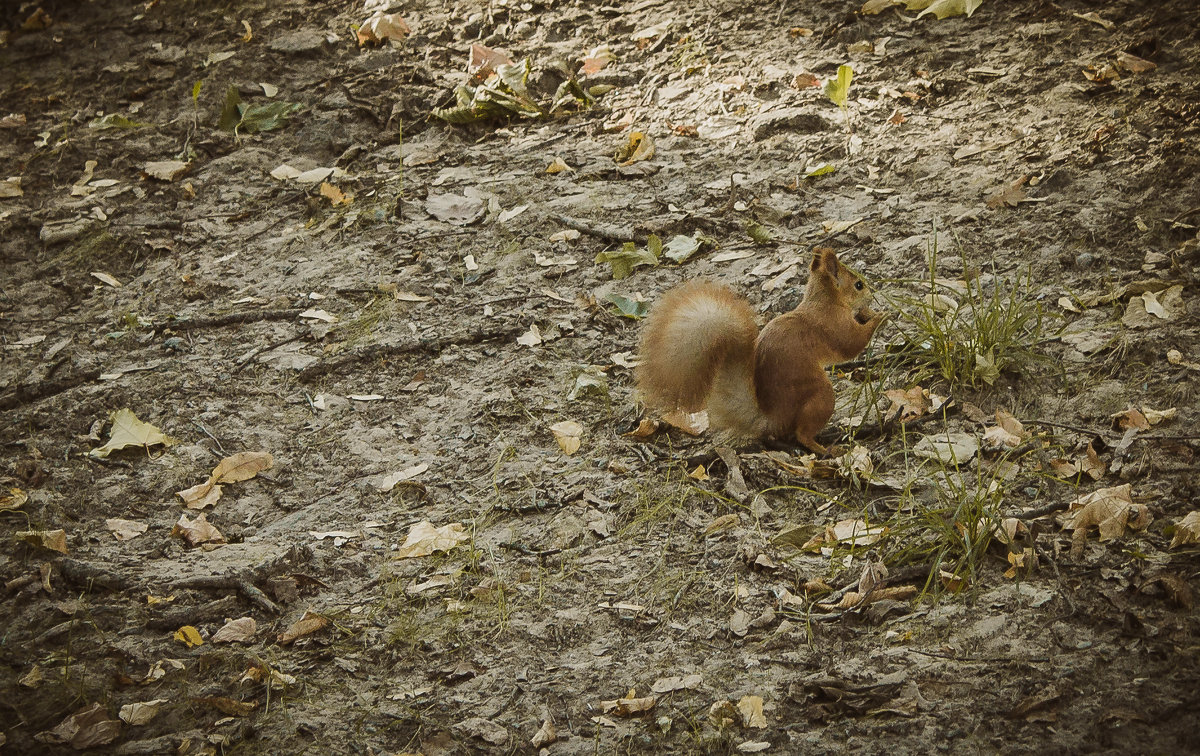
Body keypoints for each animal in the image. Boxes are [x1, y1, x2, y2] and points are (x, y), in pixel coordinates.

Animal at [638, 247, 883, 456]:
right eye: (858, 285)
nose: (873, 295)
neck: (823, 301)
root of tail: (773, 418)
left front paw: (869, 313)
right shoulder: (832, 324)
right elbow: (850, 344)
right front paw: (881, 316)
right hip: (821, 395)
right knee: (802, 434)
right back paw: (826, 449)